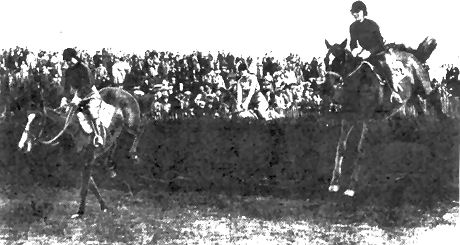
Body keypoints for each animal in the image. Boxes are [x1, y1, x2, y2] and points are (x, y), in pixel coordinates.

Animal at [17, 86, 142, 218]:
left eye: (38, 122)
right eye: (27, 119)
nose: (22, 145)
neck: (72, 129)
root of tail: (122, 91)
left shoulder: (88, 160)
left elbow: (85, 187)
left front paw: (80, 213)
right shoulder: (81, 161)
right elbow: (91, 185)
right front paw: (103, 207)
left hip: (130, 125)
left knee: (139, 131)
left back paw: (133, 154)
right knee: (114, 143)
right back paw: (110, 166)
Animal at [322, 36, 444, 197]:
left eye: (340, 60)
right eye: (325, 60)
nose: (326, 88)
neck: (358, 84)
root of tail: (414, 55)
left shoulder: (368, 120)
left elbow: (360, 149)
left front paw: (351, 187)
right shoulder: (348, 118)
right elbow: (341, 147)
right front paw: (334, 183)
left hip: (423, 89)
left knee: (435, 96)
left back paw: (443, 120)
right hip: (413, 99)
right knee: (421, 116)